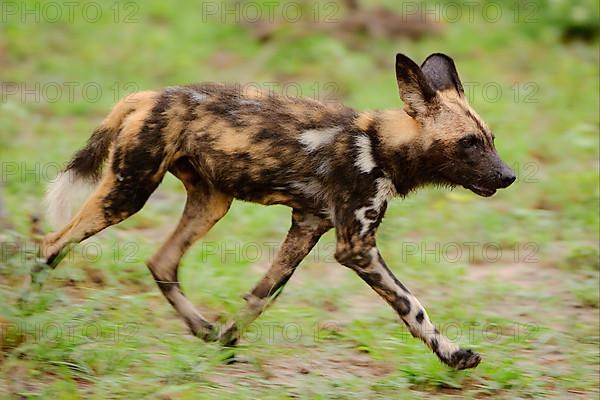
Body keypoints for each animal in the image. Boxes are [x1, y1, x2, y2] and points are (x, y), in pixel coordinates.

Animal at [39, 53, 512, 368]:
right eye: (469, 143)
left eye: (490, 139)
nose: (508, 176)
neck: (379, 146)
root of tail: (148, 95)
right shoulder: (357, 247)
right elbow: (411, 305)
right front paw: (453, 354)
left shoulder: (308, 226)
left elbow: (261, 296)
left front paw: (227, 341)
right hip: (128, 193)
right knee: (50, 244)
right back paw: (32, 314)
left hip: (211, 203)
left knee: (161, 261)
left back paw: (202, 328)